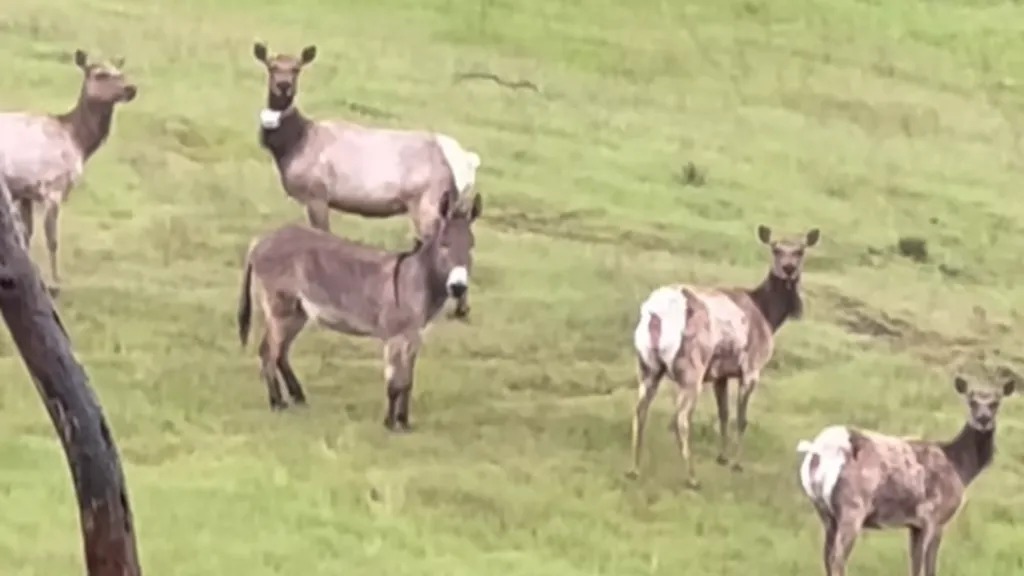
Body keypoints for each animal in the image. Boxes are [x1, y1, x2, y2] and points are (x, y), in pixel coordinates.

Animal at [0, 47, 137, 293]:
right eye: (100, 74)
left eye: (120, 72)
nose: (131, 89)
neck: (78, 142)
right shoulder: (53, 186)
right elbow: (51, 238)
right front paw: (55, 282)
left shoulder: (26, 191)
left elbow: (26, 235)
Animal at [237, 188, 481, 426]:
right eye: (444, 245)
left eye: (471, 246)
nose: (458, 287)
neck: (416, 279)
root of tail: (260, 241)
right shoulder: (396, 337)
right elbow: (395, 383)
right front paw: (390, 423)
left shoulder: (413, 337)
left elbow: (407, 382)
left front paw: (403, 422)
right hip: (281, 309)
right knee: (268, 352)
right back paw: (277, 403)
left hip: (297, 312)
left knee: (280, 353)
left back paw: (298, 398)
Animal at [251, 40, 483, 317]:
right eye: (271, 66)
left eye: (296, 68)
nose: (283, 85)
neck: (294, 144)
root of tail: (468, 162)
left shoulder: (317, 193)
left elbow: (323, 233)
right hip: (456, 205)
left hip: (428, 202)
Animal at [626, 223, 819, 483]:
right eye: (776, 249)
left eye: (800, 251)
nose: (788, 269)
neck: (768, 314)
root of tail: (656, 314)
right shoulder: (751, 369)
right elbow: (742, 418)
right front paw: (736, 464)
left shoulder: (721, 374)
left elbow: (724, 414)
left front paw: (722, 457)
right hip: (691, 371)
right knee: (681, 418)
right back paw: (692, 477)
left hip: (648, 366)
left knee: (639, 411)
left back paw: (634, 469)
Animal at [794, 375, 1011, 573]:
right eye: (971, 401)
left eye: (996, 402)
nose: (983, 419)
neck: (960, 467)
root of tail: (820, 449)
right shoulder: (933, 517)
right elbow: (928, 566)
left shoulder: (915, 525)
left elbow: (914, 564)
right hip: (852, 507)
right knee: (837, 559)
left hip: (824, 511)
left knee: (826, 556)